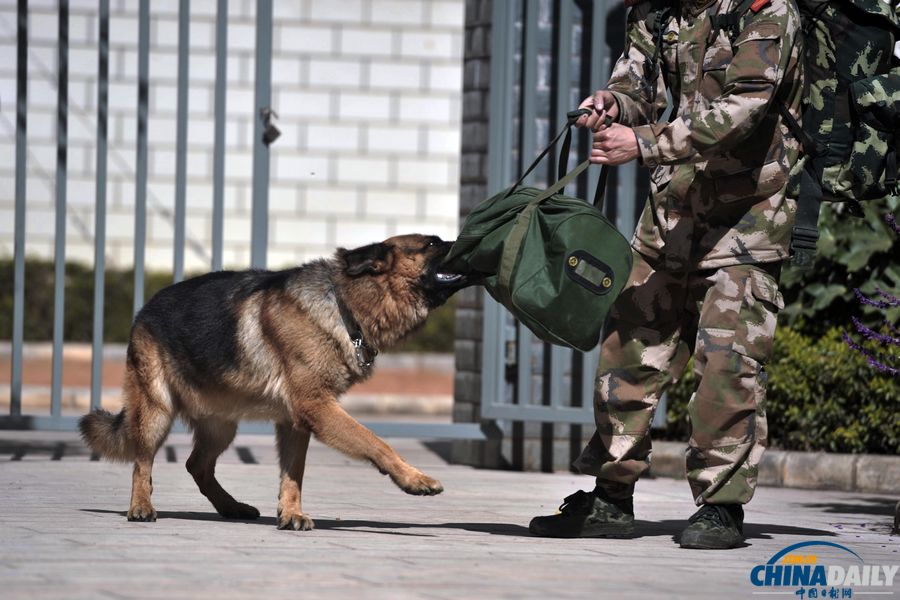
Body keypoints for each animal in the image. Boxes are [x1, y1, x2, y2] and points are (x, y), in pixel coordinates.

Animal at [80, 234, 472, 528]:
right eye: (433, 243)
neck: (344, 304)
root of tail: (146, 307)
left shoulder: (296, 421)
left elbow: (293, 472)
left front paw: (291, 513)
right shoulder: (317, 408)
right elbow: (376, 442)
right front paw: (414, 479)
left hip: (221, 425)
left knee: (197, 465)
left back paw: (231, 506)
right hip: (157, 411)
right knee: (142, 461)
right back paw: (141, 506)